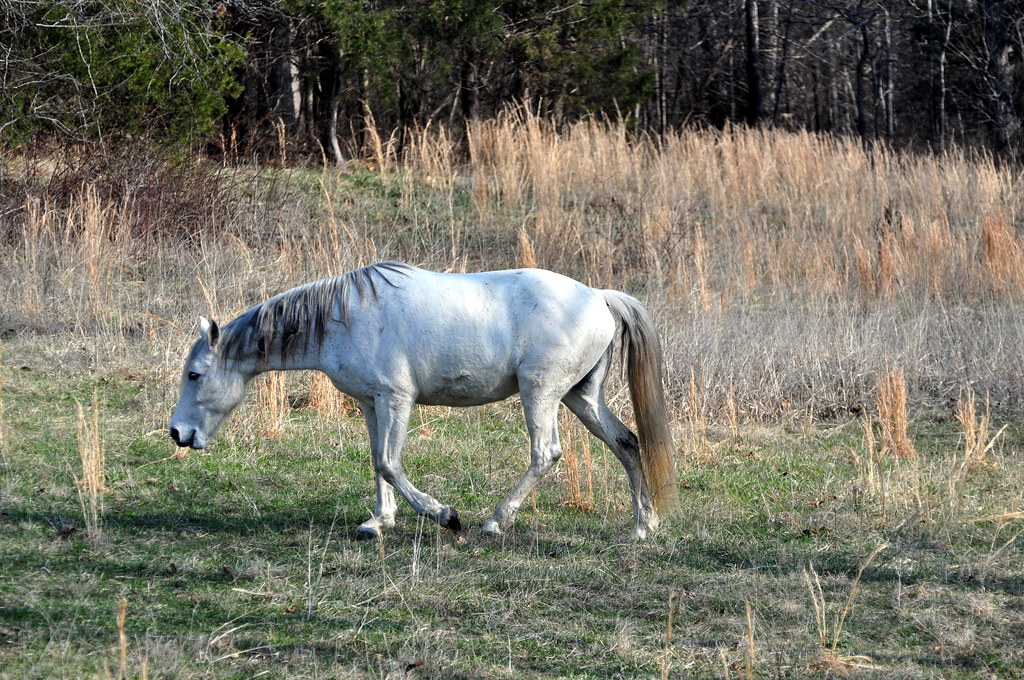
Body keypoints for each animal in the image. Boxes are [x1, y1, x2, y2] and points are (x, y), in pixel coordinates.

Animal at [169, 262, 678, 540]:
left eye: (195, 375)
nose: (178, 433)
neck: (343, 316)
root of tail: (599, 297)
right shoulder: (371, 403)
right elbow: (376, 462)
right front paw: (379, 522)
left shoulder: (397, 399)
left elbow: (390, 463)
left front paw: (444, 515)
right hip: (581, 397)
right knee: (627, 443)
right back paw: (643, 526)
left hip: (542, 393)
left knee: (546, 453)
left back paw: (496, 521)